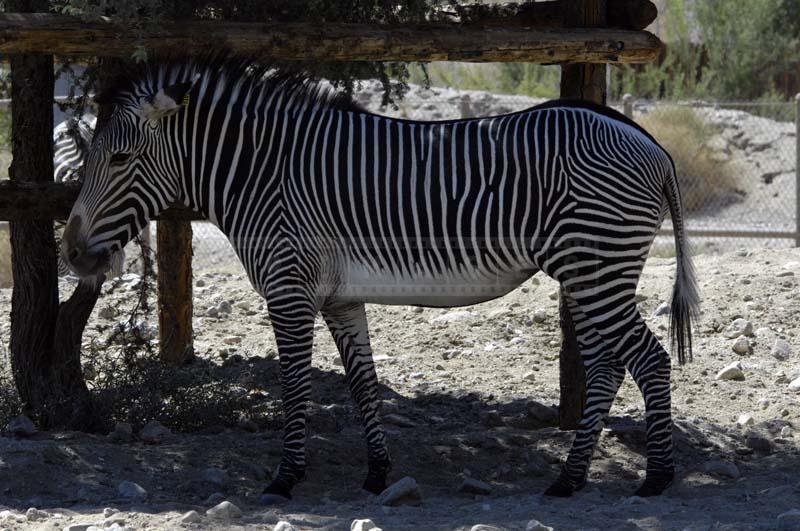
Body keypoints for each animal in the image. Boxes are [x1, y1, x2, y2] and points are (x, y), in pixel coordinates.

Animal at [61, 58, 699, 503]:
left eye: (118, 160)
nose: (71, 253)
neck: (262, 174)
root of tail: (649, 142)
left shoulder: (289, 289)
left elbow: (296, 387)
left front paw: (284, 479)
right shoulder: (340, 298)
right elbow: (363, 384)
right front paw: (376, 473)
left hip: (597, 262)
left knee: (647, 360)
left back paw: (656, 478)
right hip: (588, 270)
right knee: (607, 365)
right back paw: (570, 479)